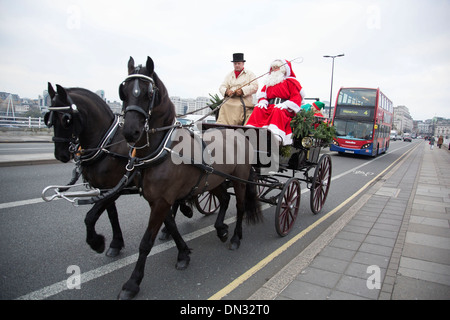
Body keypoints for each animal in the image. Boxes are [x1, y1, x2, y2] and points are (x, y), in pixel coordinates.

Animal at [118, 57, 262, 300]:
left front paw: (132, 283)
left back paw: (235, 237)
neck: (164, 148)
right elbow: (172, 225)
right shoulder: (158, 200)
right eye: (124, 91)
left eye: (148, 93)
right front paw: (183, 253)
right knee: (224, 199)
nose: (130, 132)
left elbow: (146, 242)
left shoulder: (162, 201)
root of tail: (238, 133)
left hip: (240, 180)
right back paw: (221, 229)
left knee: (241, 206)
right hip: (214, 180)